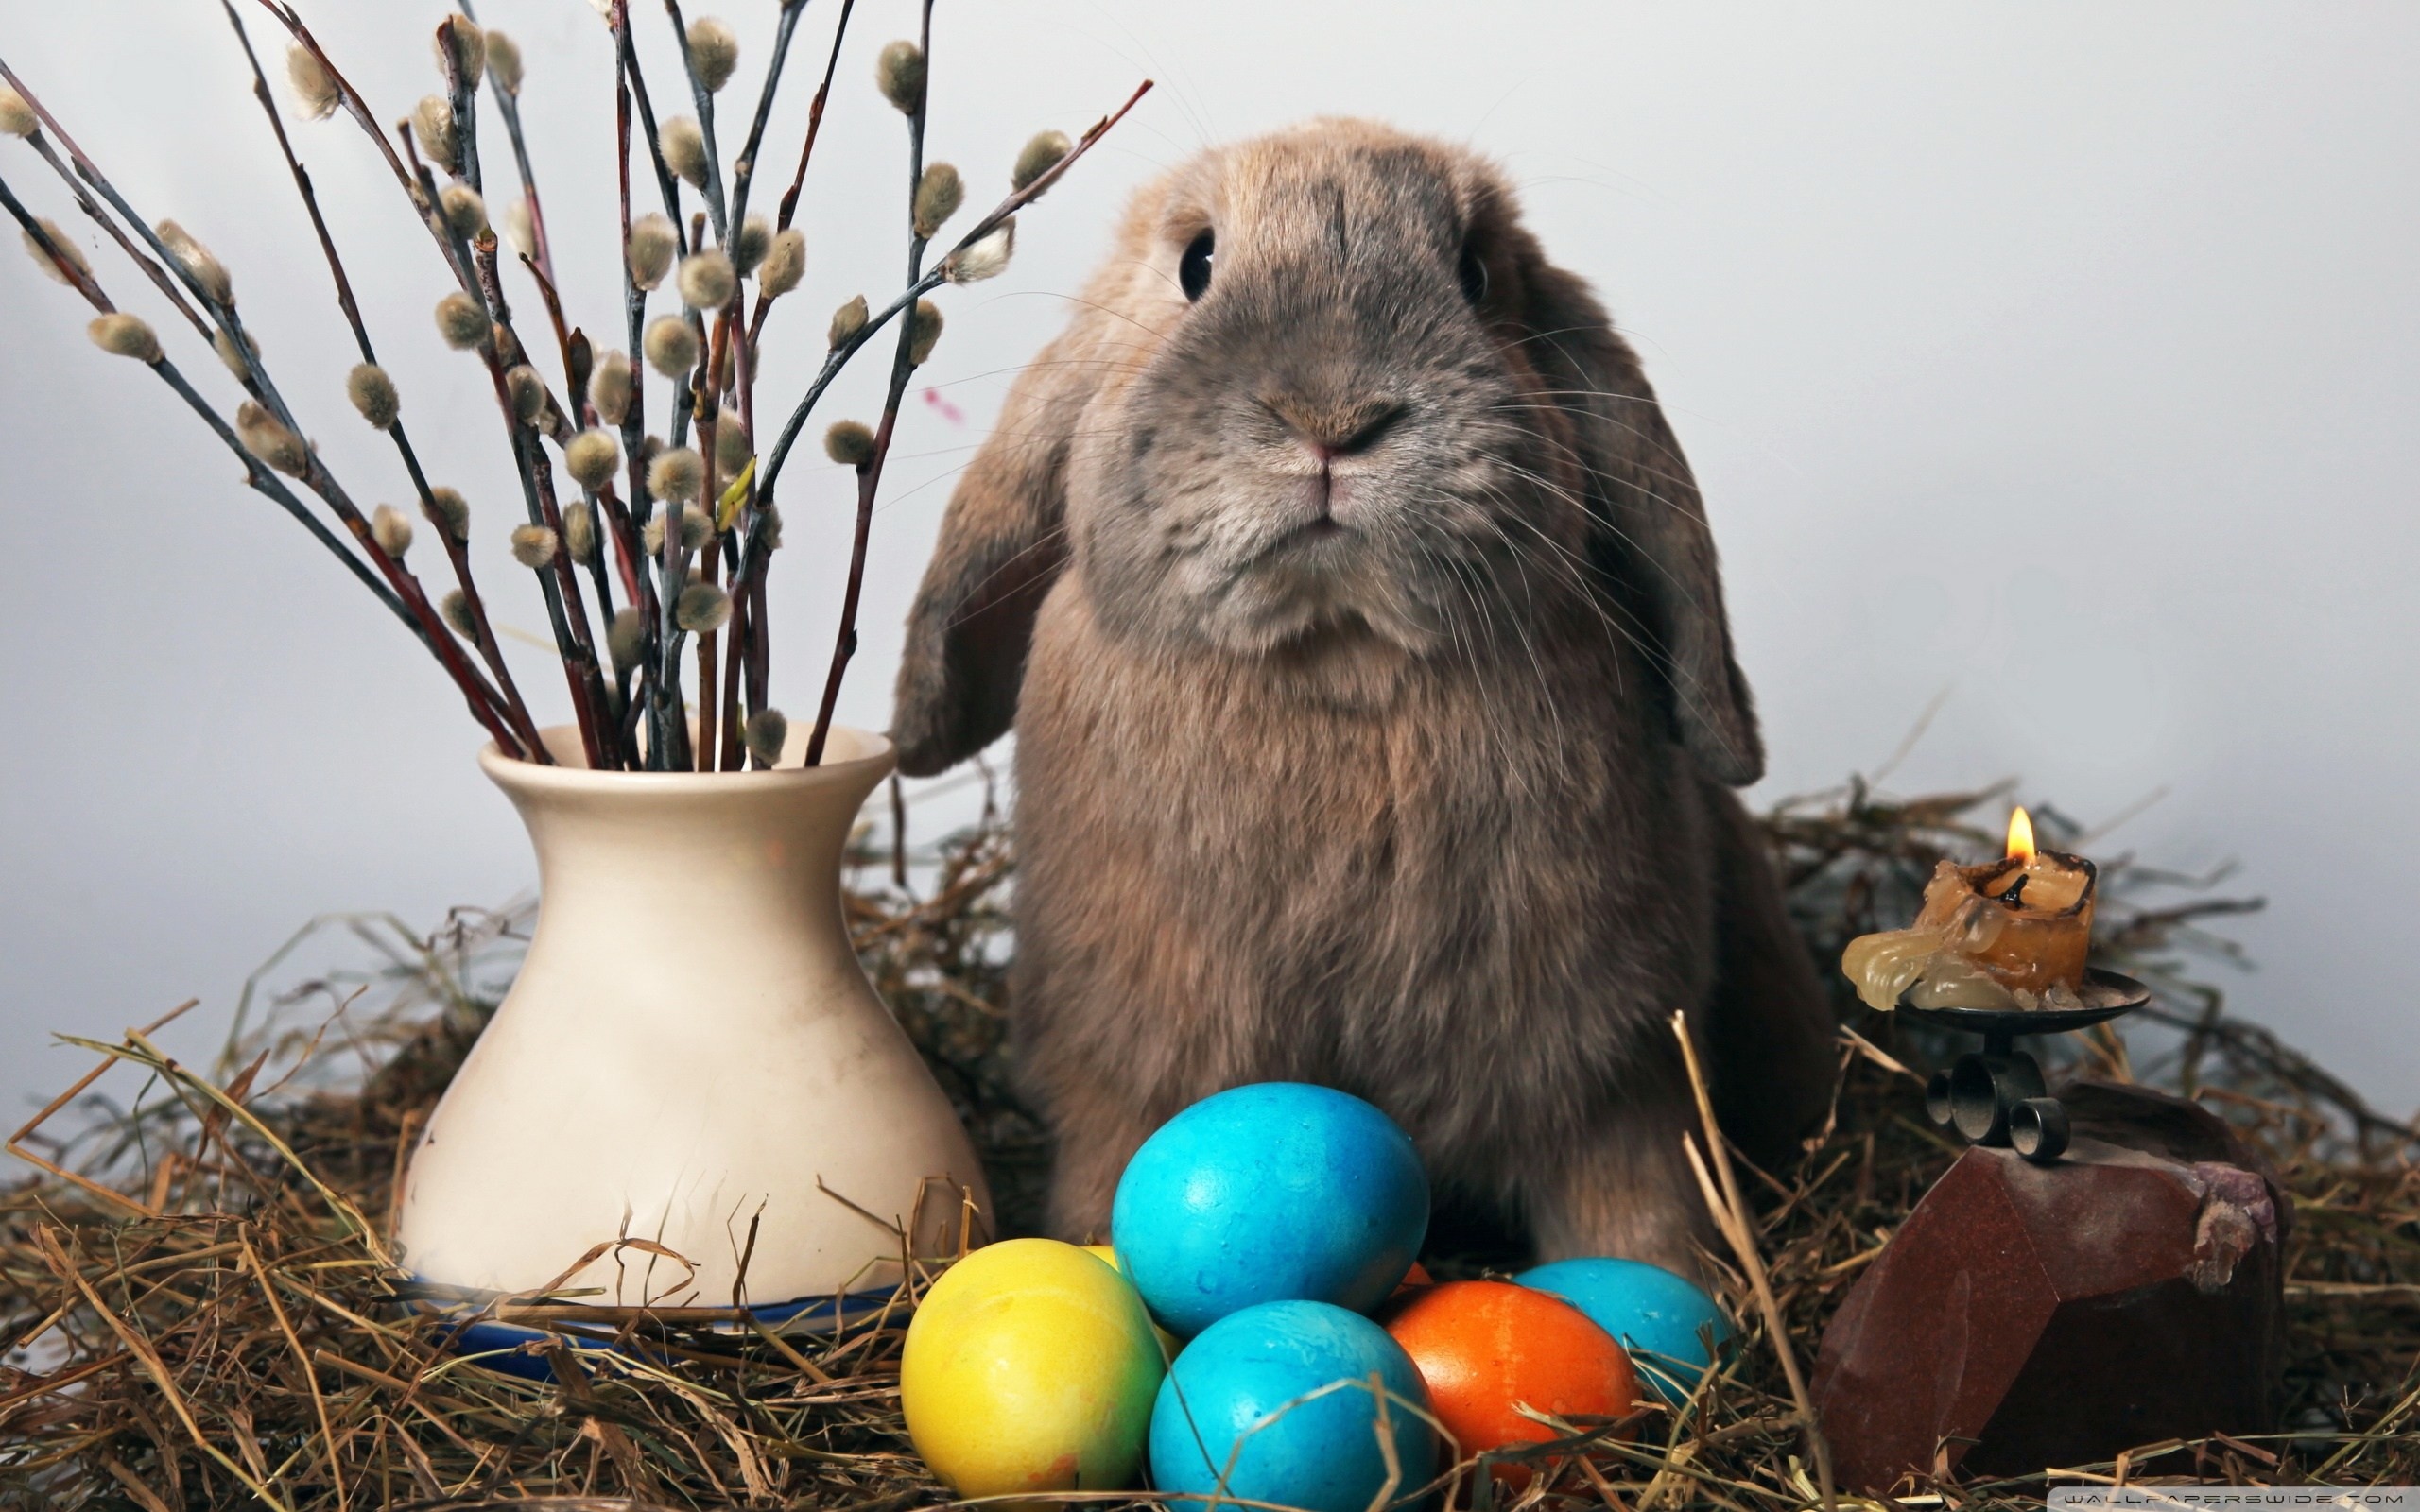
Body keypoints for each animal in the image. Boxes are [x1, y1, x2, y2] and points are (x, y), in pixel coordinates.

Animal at [890, 118, 1836, 1276]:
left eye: (1477, 275)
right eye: (1196, 264)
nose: (1333, 415)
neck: (1338, 660)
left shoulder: (1618, 1084)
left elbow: (1637, 1208)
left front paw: (1675, 1299)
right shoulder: (1129, 1085)